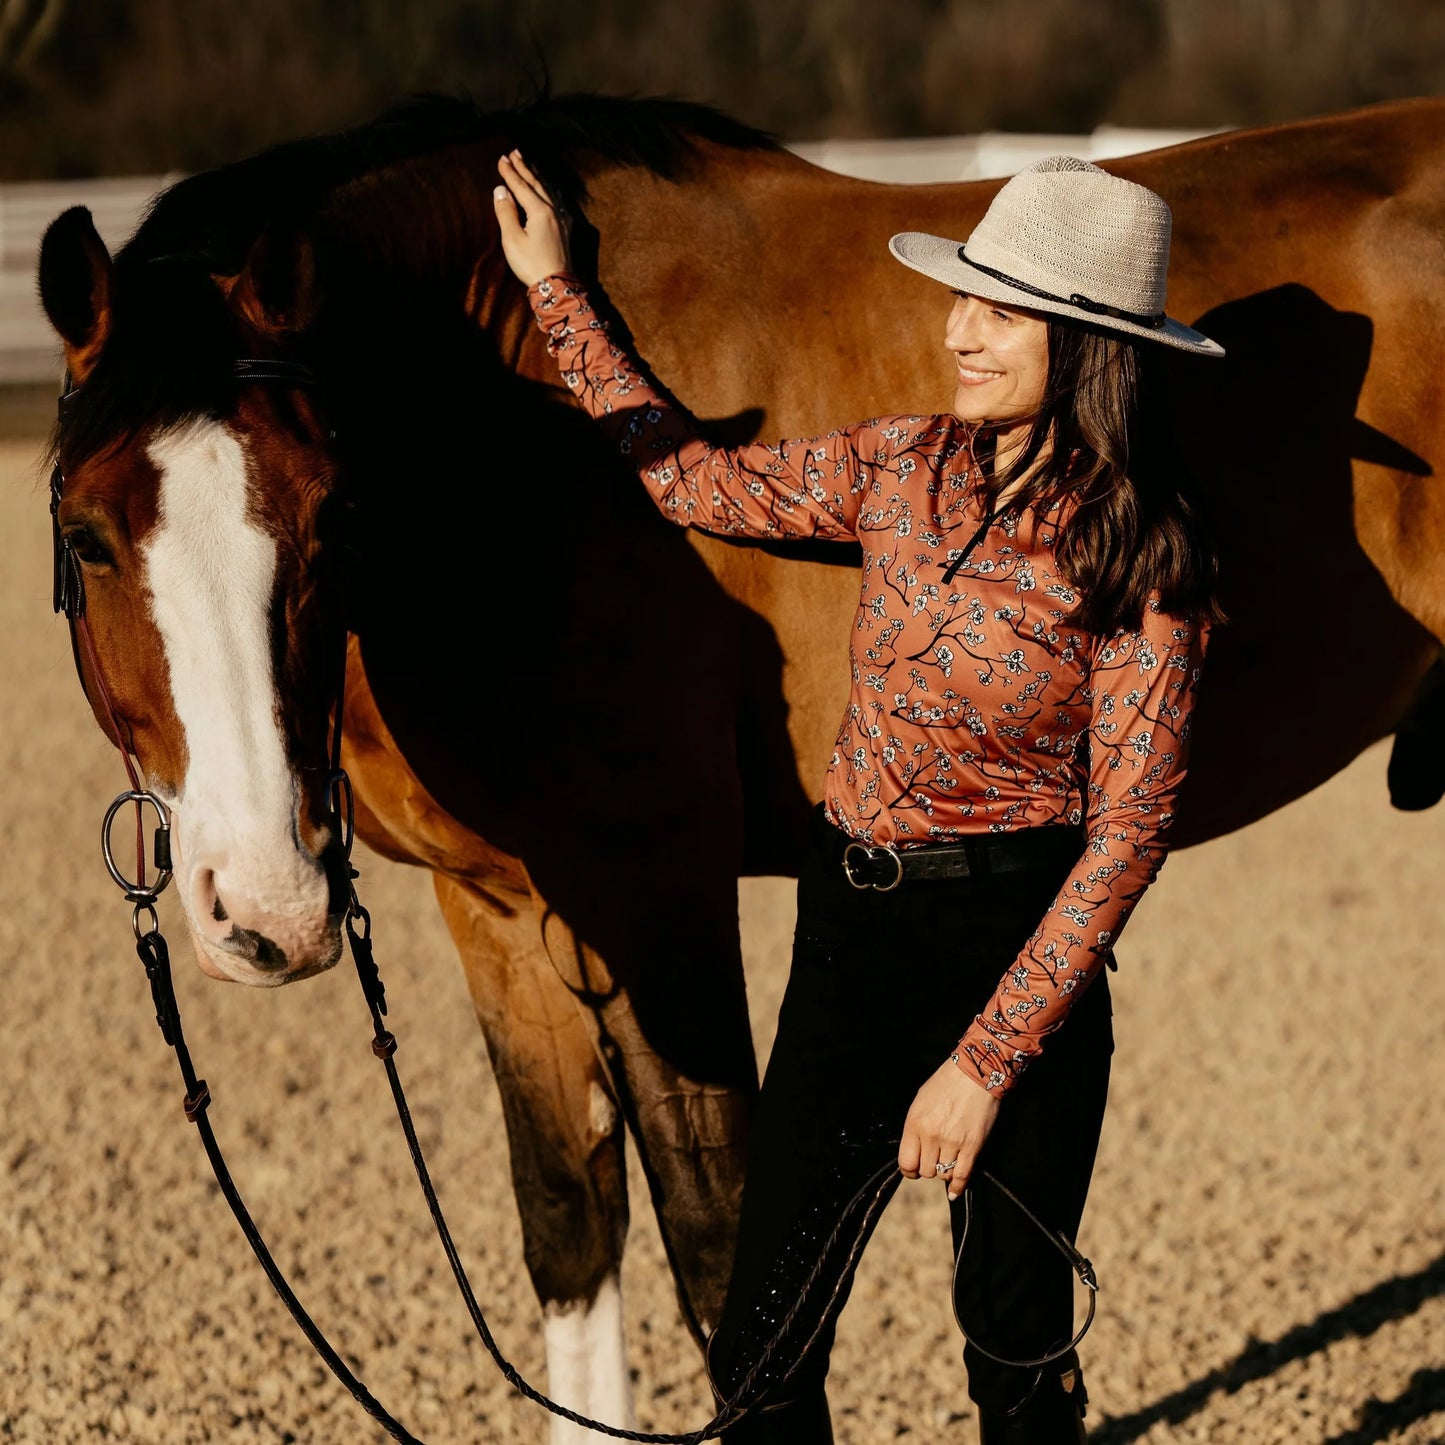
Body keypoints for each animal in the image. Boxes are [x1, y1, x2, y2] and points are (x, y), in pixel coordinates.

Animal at [33, 96, 1445, 1439]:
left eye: (333, 513)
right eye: (87, 532)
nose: (266, 909)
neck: (520, 446)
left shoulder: (656, 899)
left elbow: (723, 1262)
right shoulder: (496, 911)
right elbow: (569, 1227)